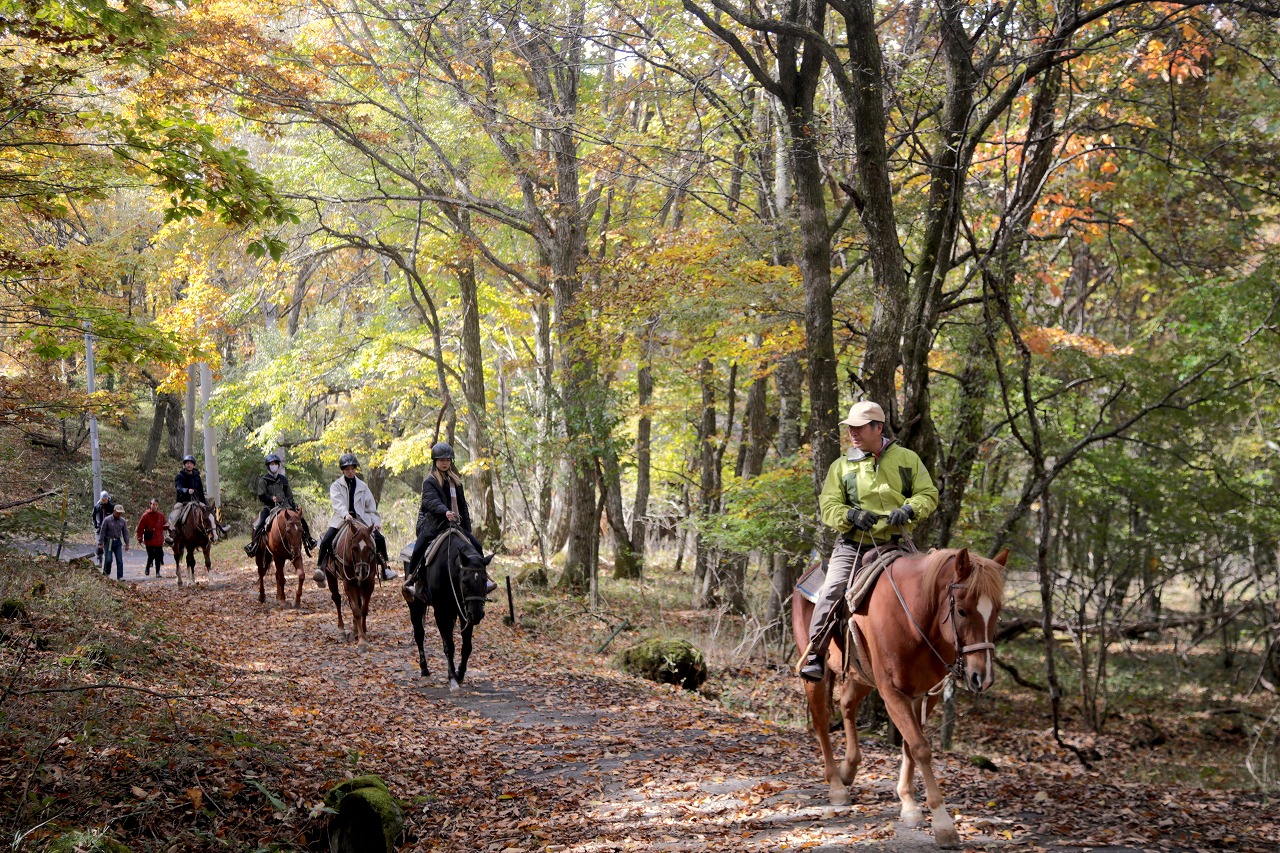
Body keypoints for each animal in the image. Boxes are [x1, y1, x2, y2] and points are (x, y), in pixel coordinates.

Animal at [325, 514, 373, 648]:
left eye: (370, 548)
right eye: (354, 548)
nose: (362, 572)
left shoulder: (369, 583)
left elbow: (363, 609)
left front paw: (363, 632)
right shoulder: (349, 583)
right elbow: (356, 611)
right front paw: (361, 640)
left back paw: (354, 630)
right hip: (330, 576)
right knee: (337, 599)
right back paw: (342, 630)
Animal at [404, 525, 494, 691]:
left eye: (485, 580)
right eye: (465, 581)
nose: (477, 614)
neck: (449, 569)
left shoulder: (464, 611)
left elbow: (466, 646)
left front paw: (460, 674)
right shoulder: (441, 611)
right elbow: (448, 646)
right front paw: (452, 678)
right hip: (415, 604)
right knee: (419, 634)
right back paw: (424, 671)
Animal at [788, 545, 1008, 845]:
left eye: (996, 611)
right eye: (962, 611)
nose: (982, 678)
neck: (915, 618)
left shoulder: (923, 693)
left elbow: (909, 746)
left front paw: (908, 802)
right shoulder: (892, 693)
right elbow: (920, 748)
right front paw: (942, 822)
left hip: (862, 677)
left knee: (846, 705)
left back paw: (849, 768)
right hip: (816, 672)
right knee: (821, 720)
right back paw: (836, 785)